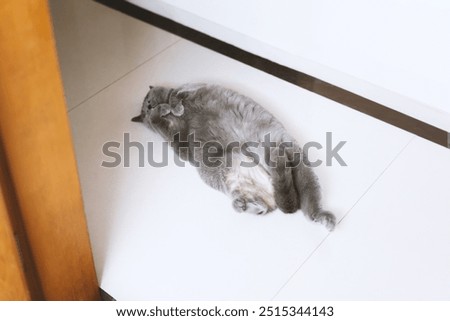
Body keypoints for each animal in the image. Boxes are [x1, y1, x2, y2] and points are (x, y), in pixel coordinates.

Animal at [132, 82, 336, 230]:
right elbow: (160, 123)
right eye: (145, 109)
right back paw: (244, 205)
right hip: (218, 174)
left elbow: (175, 97)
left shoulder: (189, 90)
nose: (149, 108)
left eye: (148, 101)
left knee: (309, 204)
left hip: (300, 166)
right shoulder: (177, 141)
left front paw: (171, 107)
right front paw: (161, 113)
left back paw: (325, 219)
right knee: (258, 205)